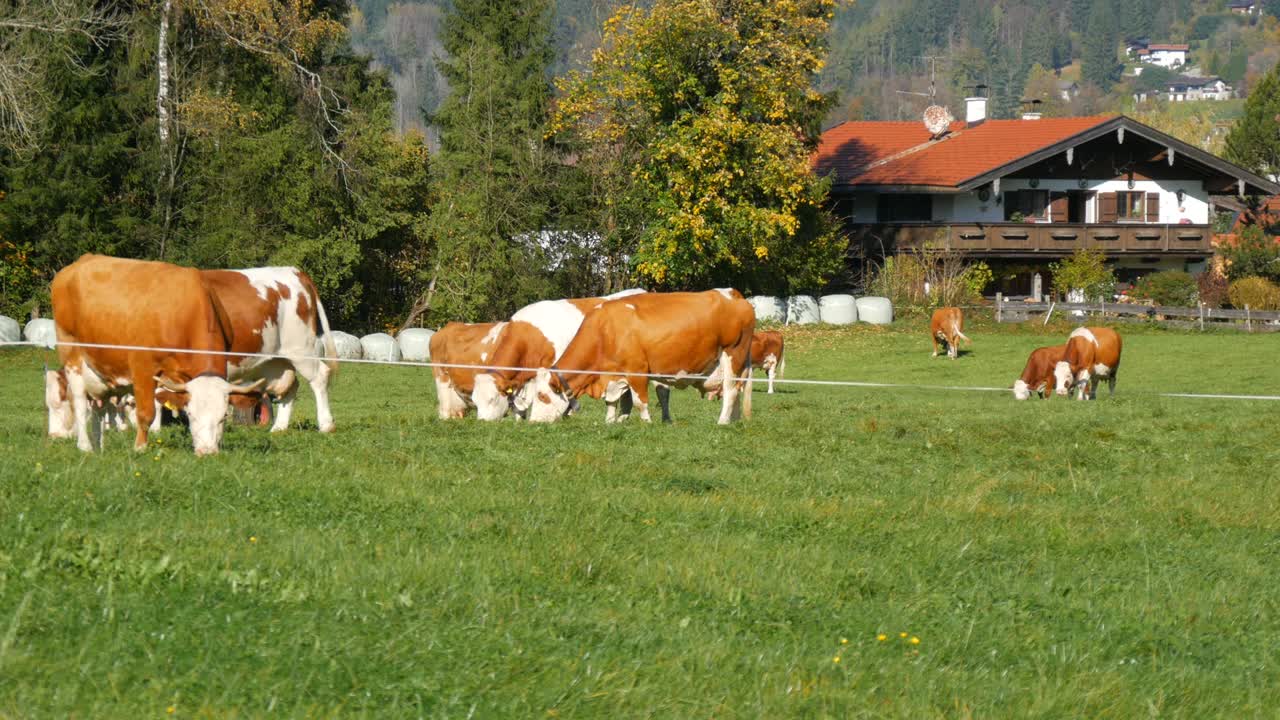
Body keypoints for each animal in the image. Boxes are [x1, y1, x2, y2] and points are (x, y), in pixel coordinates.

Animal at [51, 254, 267, 450]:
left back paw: (99, 447)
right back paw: (85, 447)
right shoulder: (142, 368)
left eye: (223, 417)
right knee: (80, 403)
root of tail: (80, 261)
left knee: (99, 406)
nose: (207, 452)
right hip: (71, 355)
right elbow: (146, 413)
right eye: (191, 415)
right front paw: (139, 448)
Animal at [519, 286, 752, 422]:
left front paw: (647, 423)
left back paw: (722, 422)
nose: (534, 422)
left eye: (541, 396)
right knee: (736, 393)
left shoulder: (637, 370)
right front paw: (610, 423)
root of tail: (732, 293)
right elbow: (611, 403)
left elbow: (640, 402)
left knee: (730, 391)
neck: (605, 331)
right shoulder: (613, 376)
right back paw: (734, 421)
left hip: (733, 356)